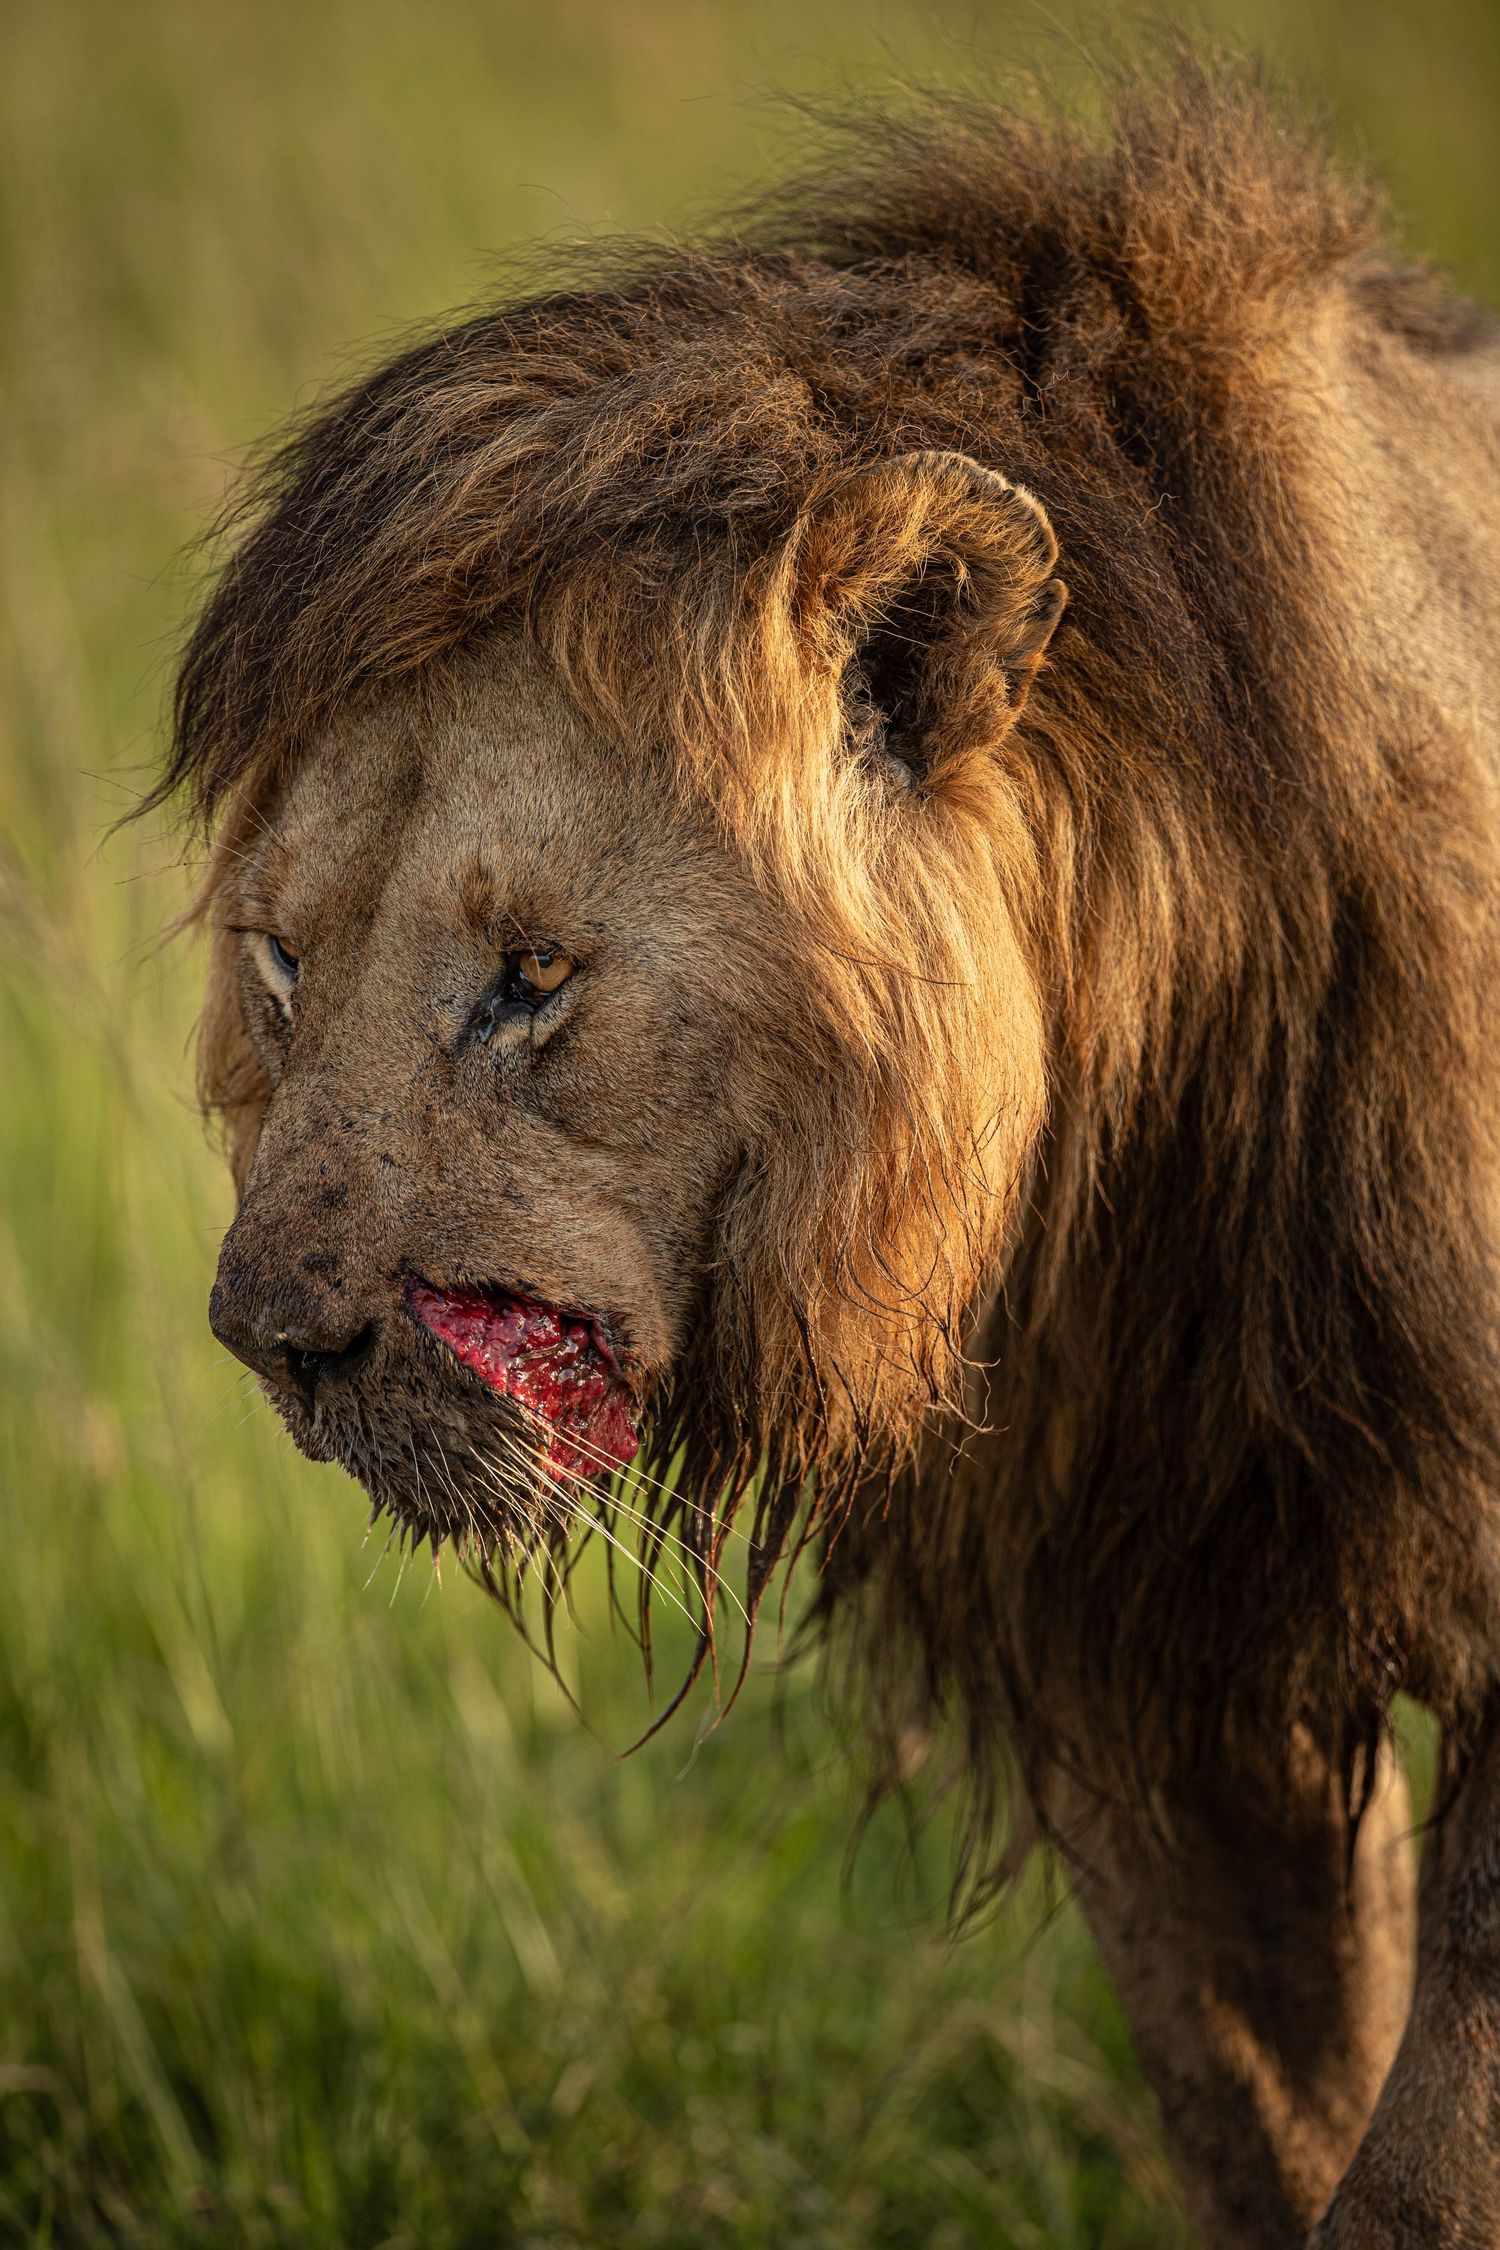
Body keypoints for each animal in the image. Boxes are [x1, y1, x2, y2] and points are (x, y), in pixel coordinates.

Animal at [156, 58, 1500, 2248]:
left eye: (533, 978)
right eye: (280, 959)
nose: (275, 1335)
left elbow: (1417, 2163)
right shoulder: (1143, 1656)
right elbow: (1265, 2114)